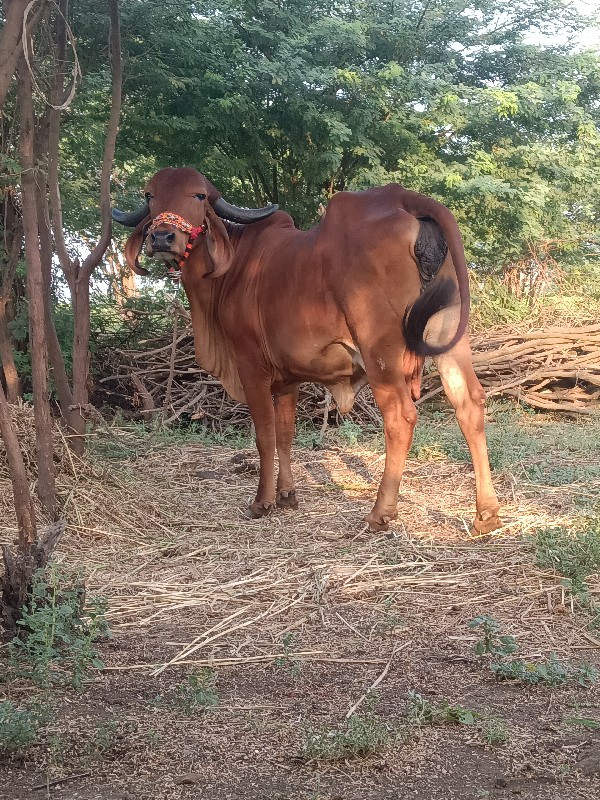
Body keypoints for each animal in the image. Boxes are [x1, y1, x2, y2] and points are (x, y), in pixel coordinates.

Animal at [113, 166, 502, 536]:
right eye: (149, 196)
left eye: (199, 195)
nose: (161, 237)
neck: (230, 270)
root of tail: (405, 197)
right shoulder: (288, 379)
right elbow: (285, 435)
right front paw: (287, 495)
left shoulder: (251, 367)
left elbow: (265, 437)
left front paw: (262, 501)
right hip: (449, 336)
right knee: (469, 403)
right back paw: (486, 514)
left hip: (380, 351)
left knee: (401, 417)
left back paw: (380, 513)